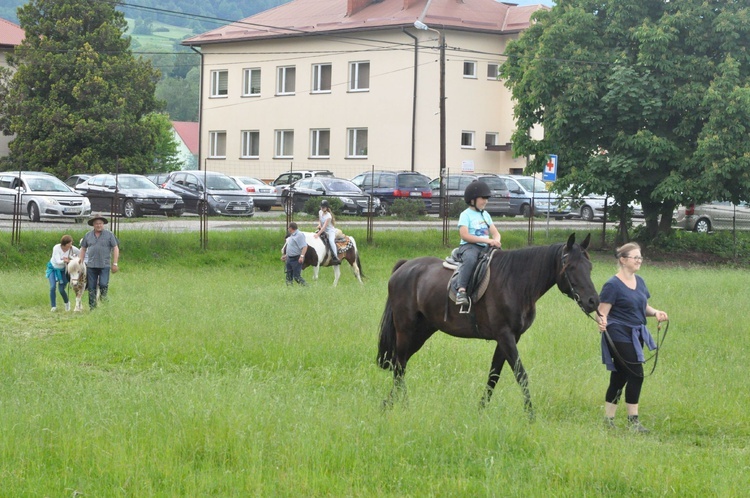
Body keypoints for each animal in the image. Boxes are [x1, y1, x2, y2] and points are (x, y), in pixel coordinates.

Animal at [378, 233, 604, 416]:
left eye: (590, 267)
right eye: (571, 267)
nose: (593, 301)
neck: (515, 282)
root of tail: (405, 267)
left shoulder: (509, 338)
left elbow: (494, 375)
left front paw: (481, 410)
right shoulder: (504, 336)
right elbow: (521, 375)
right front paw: (531, 415)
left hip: (422, 332)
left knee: (400, 364)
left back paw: (390, 403)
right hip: (406, 330)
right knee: (400, 365)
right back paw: (403, 405)